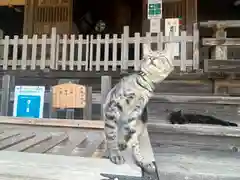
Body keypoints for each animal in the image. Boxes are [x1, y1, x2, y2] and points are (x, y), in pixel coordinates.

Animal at [102, 34, 174, 172]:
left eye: (160, 56)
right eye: (148, 56)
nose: (152, 58)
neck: (143, 86)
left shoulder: (134, 114)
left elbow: (135, 143)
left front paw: (141, 161)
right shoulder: (113, 107)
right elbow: (111, 134)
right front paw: (114, 154)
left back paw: (123, 142)